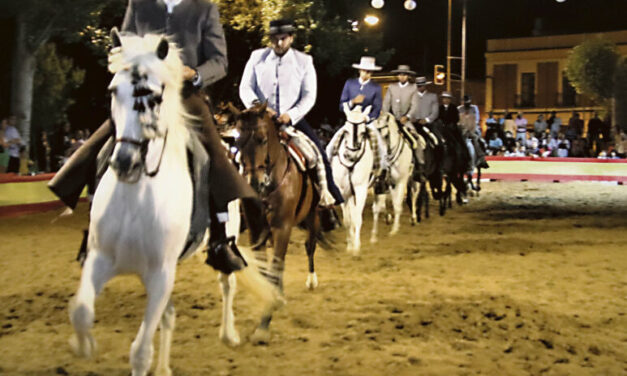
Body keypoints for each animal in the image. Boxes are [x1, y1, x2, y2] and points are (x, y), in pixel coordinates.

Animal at [232, 103, 322, 344]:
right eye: (237, 142)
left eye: (263, 139)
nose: (254, 182)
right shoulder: (256, 230)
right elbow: (266, 271)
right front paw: (271, 302)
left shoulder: (283, 227)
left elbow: (275, 269)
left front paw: (263, 326)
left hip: (312, 215)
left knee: (309, 246)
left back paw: (311, 280)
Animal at [328, 104, 382, 254]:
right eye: (346, 130)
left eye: (363, 133)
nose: (350, 156)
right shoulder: (342, 191)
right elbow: (348, 220)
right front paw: (349, 245)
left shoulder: (360, 189)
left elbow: (357, 218)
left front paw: (356, 248)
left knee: (377, 209)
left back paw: (374, 238)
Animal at [370, 112, 414, 241]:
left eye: (380, 128)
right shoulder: (381, 183)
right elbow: (378, 207)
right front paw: (374, 235)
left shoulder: (401, 181)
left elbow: (397, 205)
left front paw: (394, 230)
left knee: (413, 195)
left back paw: (414, 217)